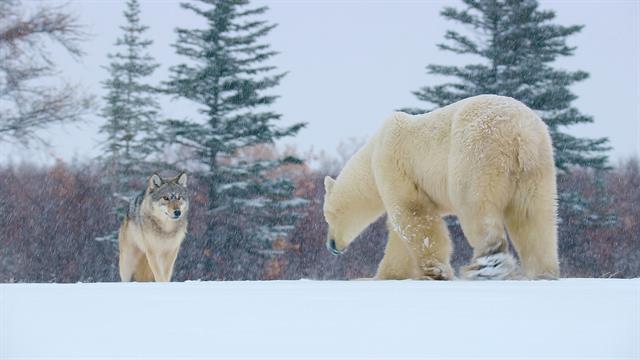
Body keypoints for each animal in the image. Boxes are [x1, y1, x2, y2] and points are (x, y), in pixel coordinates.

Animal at [322, 94, 556, 280]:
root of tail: (520, 134)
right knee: (533, 217)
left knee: (476, 207)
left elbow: (412, 213)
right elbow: (400, 232)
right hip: (537, 168)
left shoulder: (393, 163)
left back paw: (487, 266)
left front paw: (436, 271)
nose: (331, 246)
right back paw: (543, 272)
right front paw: (387, 275)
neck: (371, 153)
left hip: (477, 153)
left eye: (328, 215)